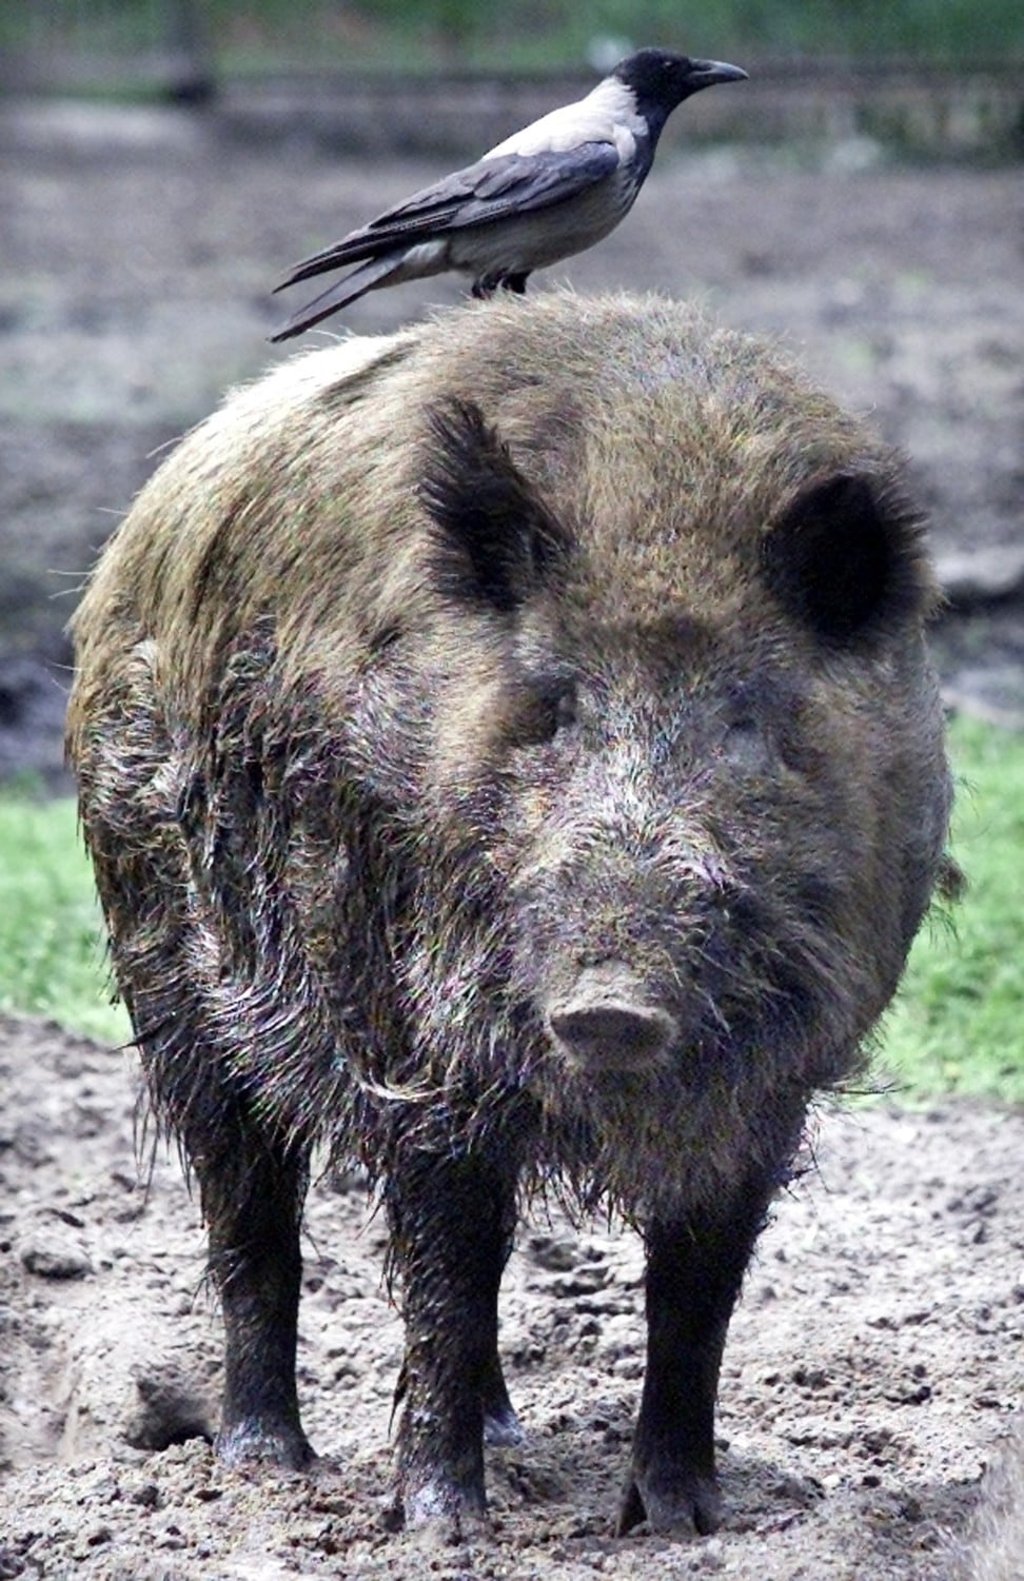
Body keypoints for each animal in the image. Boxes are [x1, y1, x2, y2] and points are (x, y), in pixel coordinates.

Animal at [65, 290, 956, 1539]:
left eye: (749, 723)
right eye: (550, 709)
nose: (611, 1006)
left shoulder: (769, 1083)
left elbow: (698, 1290)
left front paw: (684, 1524)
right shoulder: (415, 1039)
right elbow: (445, 1261)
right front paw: (446, 1528)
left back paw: (508, 1435)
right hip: (163, 959)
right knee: (253, 1214)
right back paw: (268, 1464)